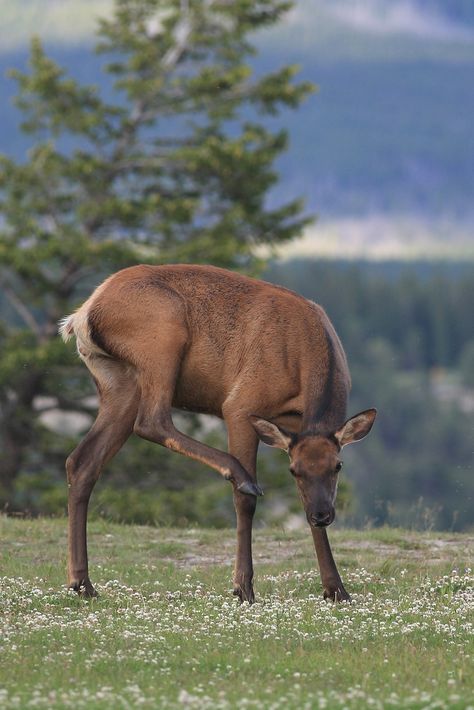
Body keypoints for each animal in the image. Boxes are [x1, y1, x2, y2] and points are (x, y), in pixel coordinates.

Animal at [60, 264, 378, 604]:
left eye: (338, 466)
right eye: (294, 471)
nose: (322, 515)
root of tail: (83, 314)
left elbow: (303, 503)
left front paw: (336, 589)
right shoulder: (241, 404)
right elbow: (245, 503)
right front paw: (243, 587)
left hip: (118, 381)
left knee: (82, 462)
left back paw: (82, 582)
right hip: (163, 337)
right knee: (151, 421)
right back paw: (238, 473)